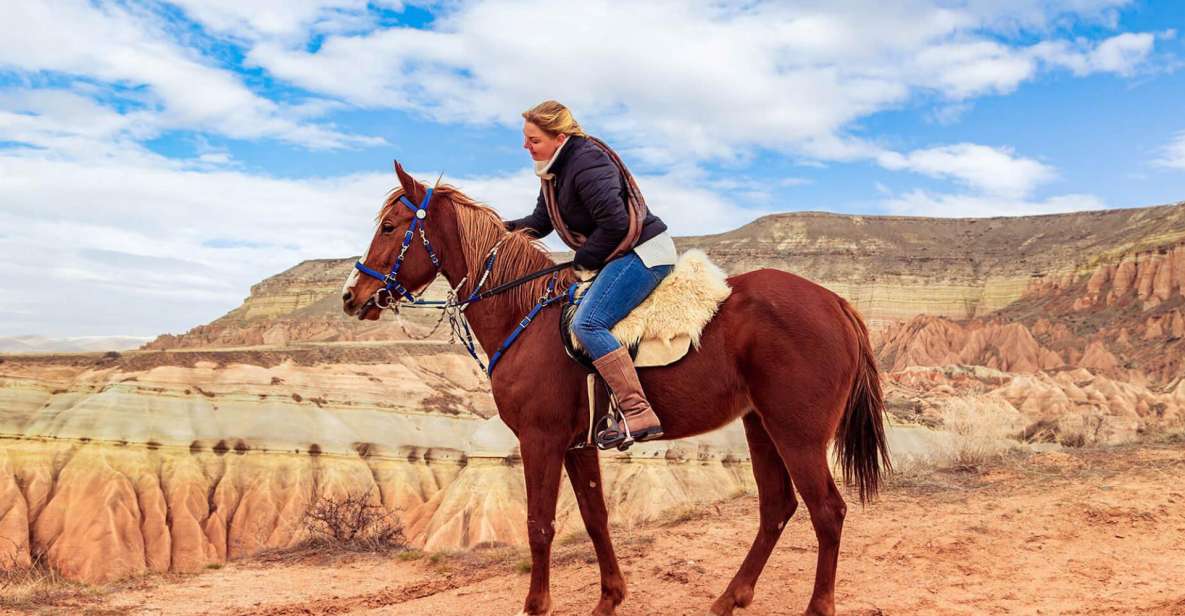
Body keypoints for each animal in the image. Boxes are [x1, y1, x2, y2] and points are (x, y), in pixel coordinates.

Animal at [343, 163, 891, 616]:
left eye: (389, 227)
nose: (352, 296)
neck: (526, 315)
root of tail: (836, 303)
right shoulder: (577, 446)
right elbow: (595, 518)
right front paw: (610, 598)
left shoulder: (540, 441)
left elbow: (539, 525)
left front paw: (536, 606)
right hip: (762, 426)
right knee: (777, 508)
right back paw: (728, 598)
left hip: (798, 434)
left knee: (828, 512)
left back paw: (814, 606)